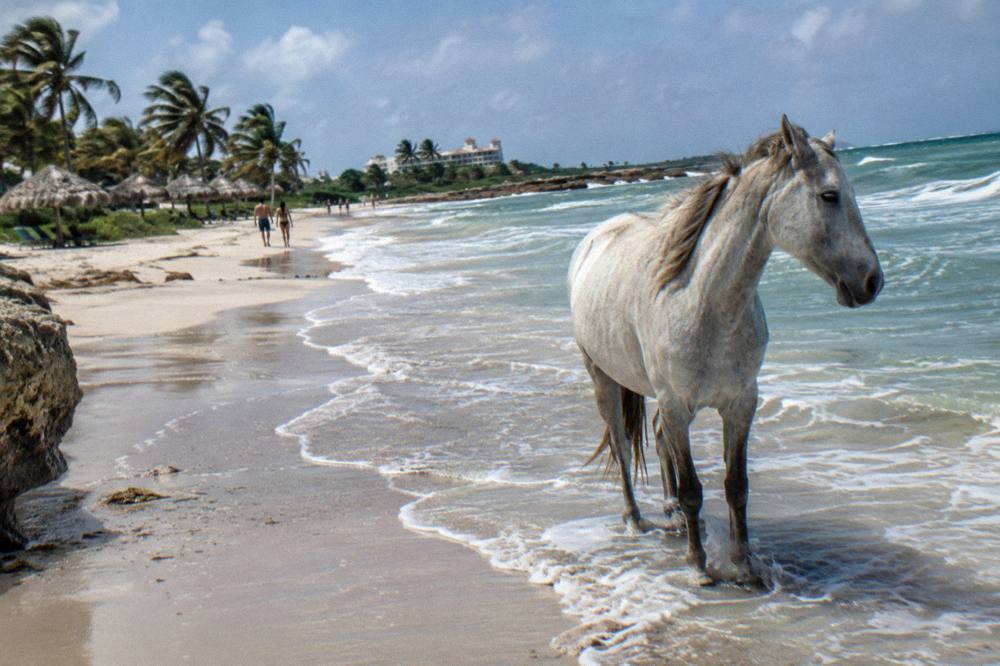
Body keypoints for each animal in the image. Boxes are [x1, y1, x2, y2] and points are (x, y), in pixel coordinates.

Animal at [568, 116, 883, 586]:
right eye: (829, 196)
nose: (872, 281)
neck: (702, 301)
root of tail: (594, 239)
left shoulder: (740, 403)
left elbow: (737, 485)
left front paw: (744, 564)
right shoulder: (677, 404)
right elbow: (693, 487)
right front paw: (699, 566)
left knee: (657, 438)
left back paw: (673, 514)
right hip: (603, 378)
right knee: (622, 447)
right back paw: (636, 520)